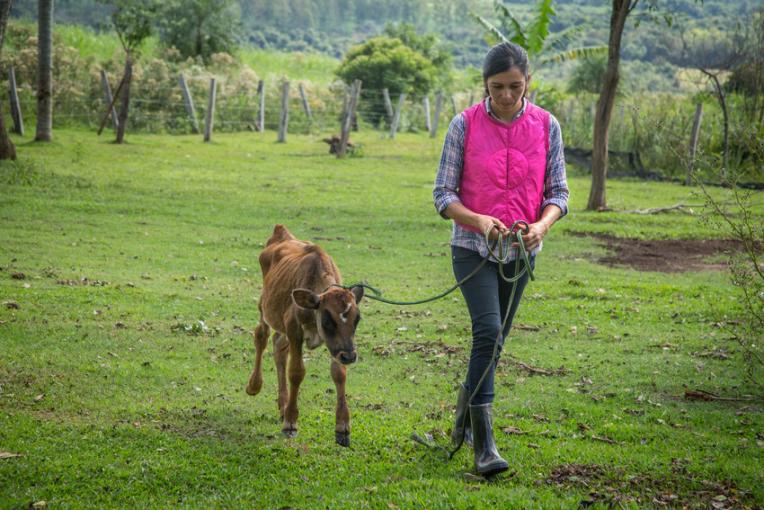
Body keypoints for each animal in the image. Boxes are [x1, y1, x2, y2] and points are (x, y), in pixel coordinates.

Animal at [245, 226, 364, 446]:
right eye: (327, 321)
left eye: (357, 319)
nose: (350, 356)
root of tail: (281, 232)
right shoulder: (294, 329)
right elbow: (296, 372)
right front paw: (291, 423)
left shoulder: (337, 346)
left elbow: (339, 373)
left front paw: (342, 427)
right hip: (264, 306)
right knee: (261, 337)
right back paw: (254, 386)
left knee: (278, 347)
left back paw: (282, 405)